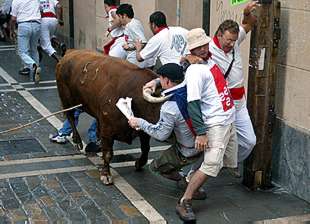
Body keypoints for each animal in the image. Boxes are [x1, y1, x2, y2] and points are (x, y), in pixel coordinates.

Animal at [55, 50, 161, 185]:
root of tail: (69, 53)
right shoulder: (107, 131)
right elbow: (108, 154)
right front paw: (106, 175)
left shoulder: (143, 130)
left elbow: (146, 148)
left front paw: (138, 164)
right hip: (67, 100)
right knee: (71, 118)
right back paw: (78, 141)